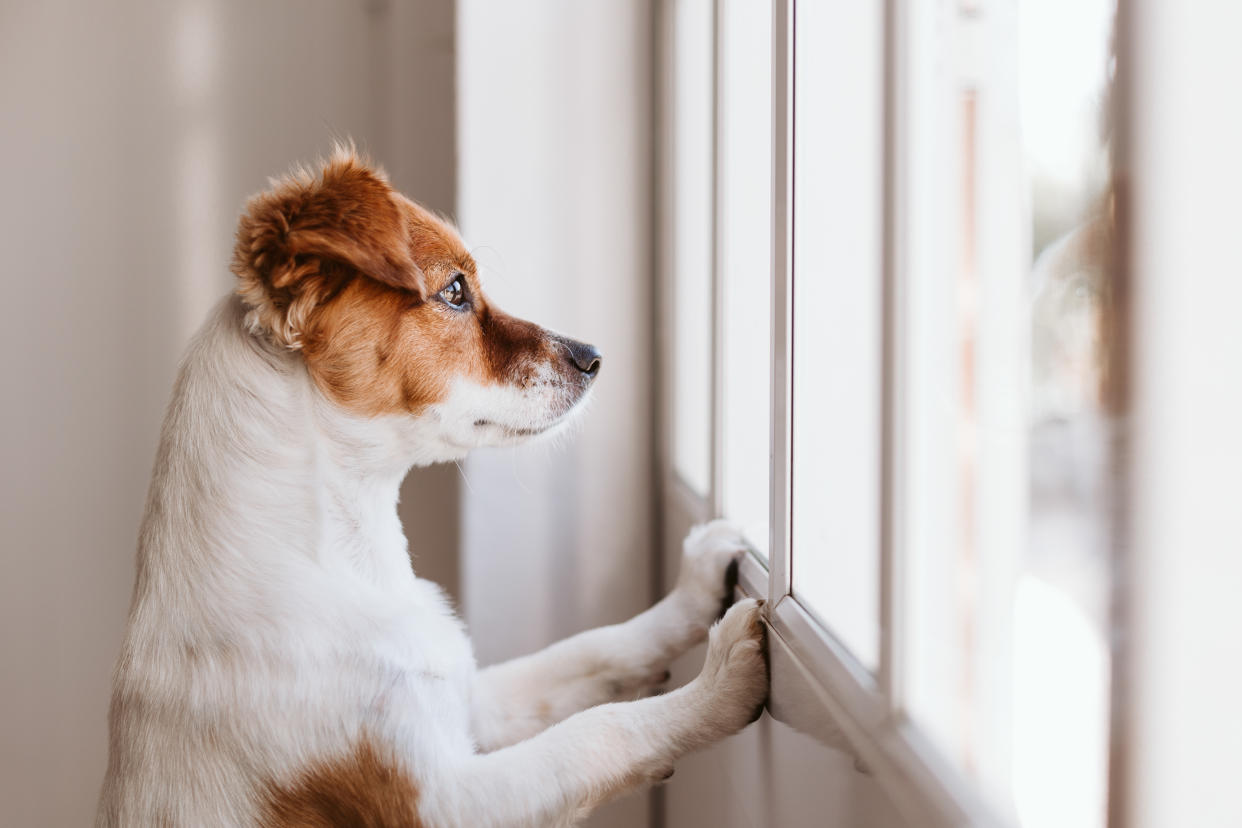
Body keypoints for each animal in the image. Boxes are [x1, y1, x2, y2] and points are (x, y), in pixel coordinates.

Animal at [96, 148, 770, 828]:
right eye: (454, 291)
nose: (594, 356)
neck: (347, 559)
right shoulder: (442, 801)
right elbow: (598, 733)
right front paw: (718, 684)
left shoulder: (469, 701)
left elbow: (594, 650)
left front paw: (694, 590)